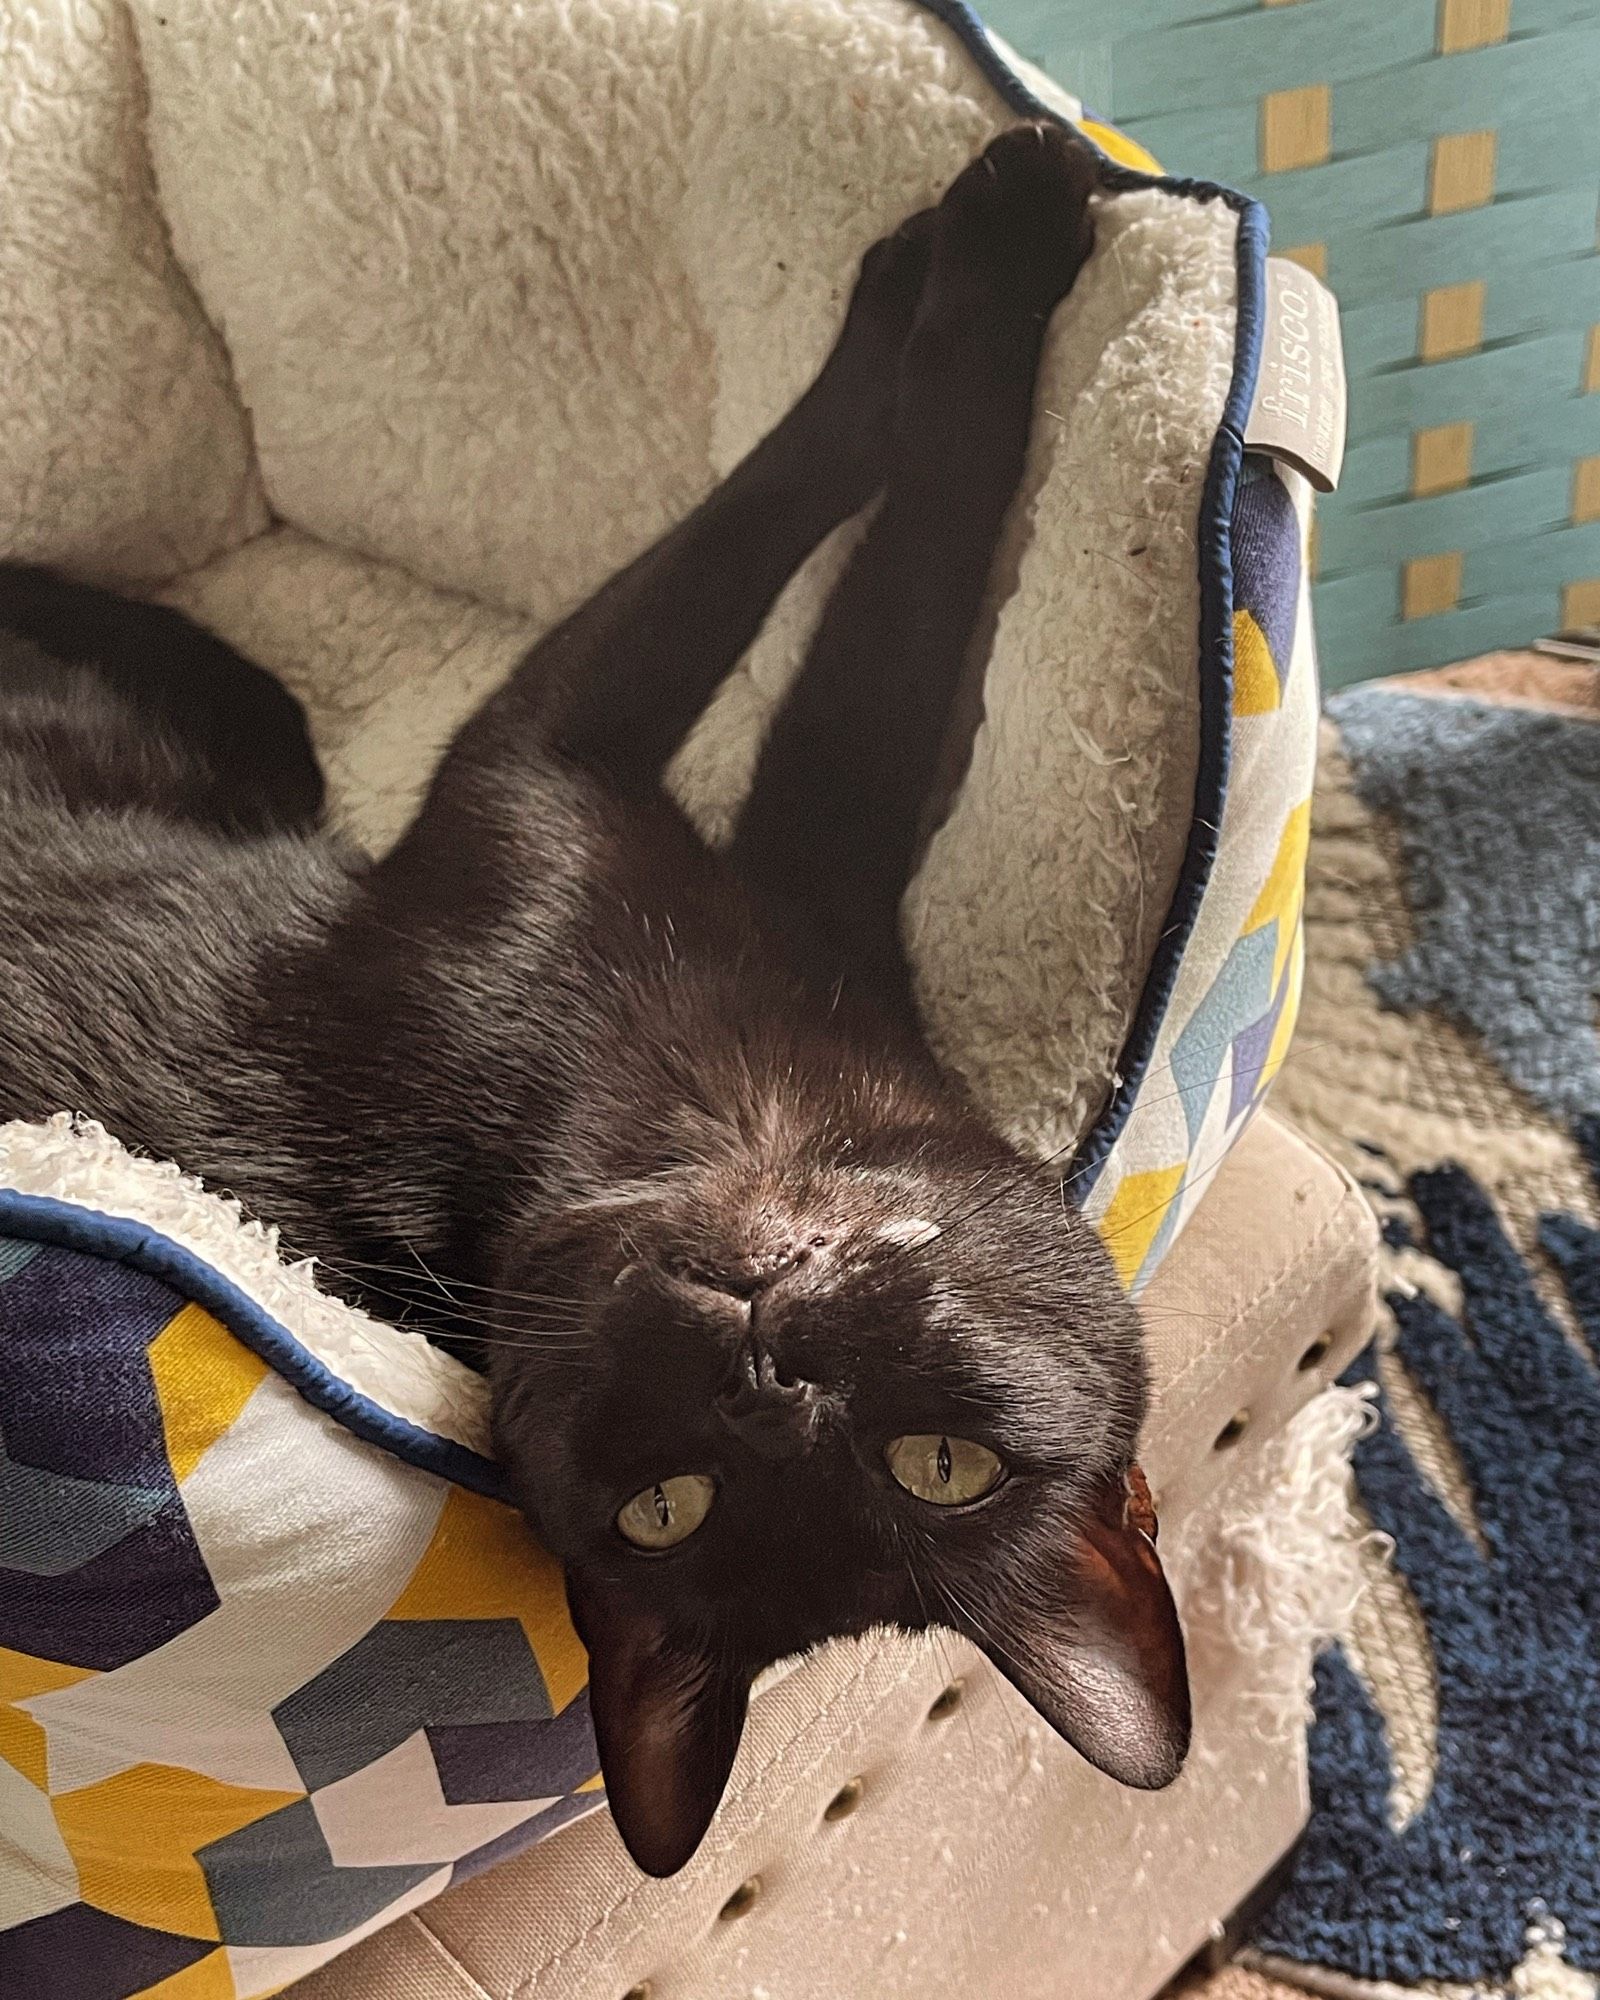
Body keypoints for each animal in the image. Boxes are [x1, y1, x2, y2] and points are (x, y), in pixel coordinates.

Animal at [0, 125, 1184, 1872]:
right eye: (950, 1465)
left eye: (665, 1507)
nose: (770, 1363)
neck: (722, 1099)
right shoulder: (781, 858)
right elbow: (893, 616)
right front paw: (968, 241)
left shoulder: (558, 752)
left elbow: (794, 536)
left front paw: (983, 238)